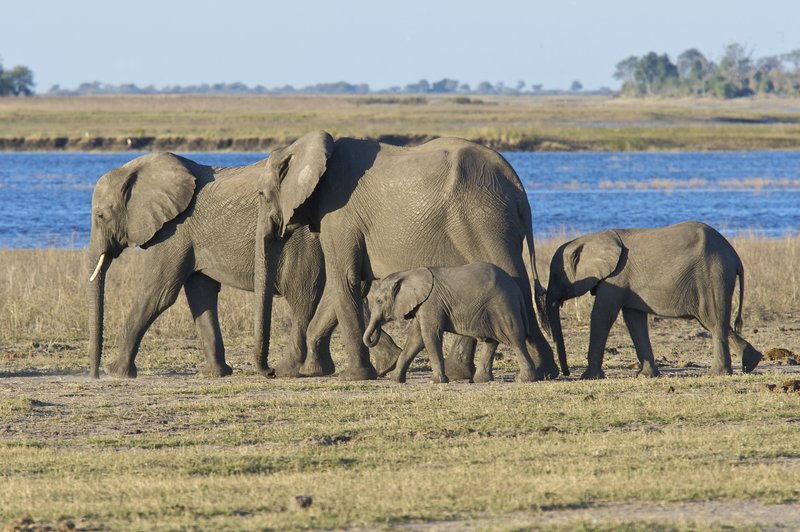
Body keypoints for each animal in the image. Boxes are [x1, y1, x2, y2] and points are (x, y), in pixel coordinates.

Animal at [87, 152, 399, 379]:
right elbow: (201, 295)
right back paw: (389, 364)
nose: (94, 375)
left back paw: (297, 370)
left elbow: (158, 294)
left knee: (303, 295)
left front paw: (117, 373)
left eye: (100, 215)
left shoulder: (174, 231)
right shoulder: (190, 238)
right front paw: (216, 374)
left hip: (305, 240)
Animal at [363, 263, 538, 384]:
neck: (408, 273)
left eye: (378, 301)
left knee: (515, 340)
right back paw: (480, 380)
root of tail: (517, 289)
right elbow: (416, 339)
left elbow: (430, 335)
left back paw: (523, 379)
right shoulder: (423, 304)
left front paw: (436, 381)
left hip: (502, 306)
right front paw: (395, 379)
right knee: (491, 342)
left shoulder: (431, 303)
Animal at [544, 221, 763, 379]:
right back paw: (752, 361)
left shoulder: (615, 277)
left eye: (555, 274)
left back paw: (716, 373)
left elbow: (602, 315)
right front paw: (646, 376)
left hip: (713, 275)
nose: (566, 373)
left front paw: (588, 377)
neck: (590, 238)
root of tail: (734, 256)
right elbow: (634, 320)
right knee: (713, 322)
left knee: (714, 321)